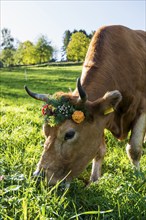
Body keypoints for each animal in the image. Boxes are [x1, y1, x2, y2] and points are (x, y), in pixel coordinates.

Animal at [25, 24, 146, 185]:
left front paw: (138, 177)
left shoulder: (142, 109)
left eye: (69, 134)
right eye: (45, 130)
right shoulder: (101, 118)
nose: (39, 177)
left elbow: (134, 149)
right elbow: (99, 151)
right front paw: (94, 180)